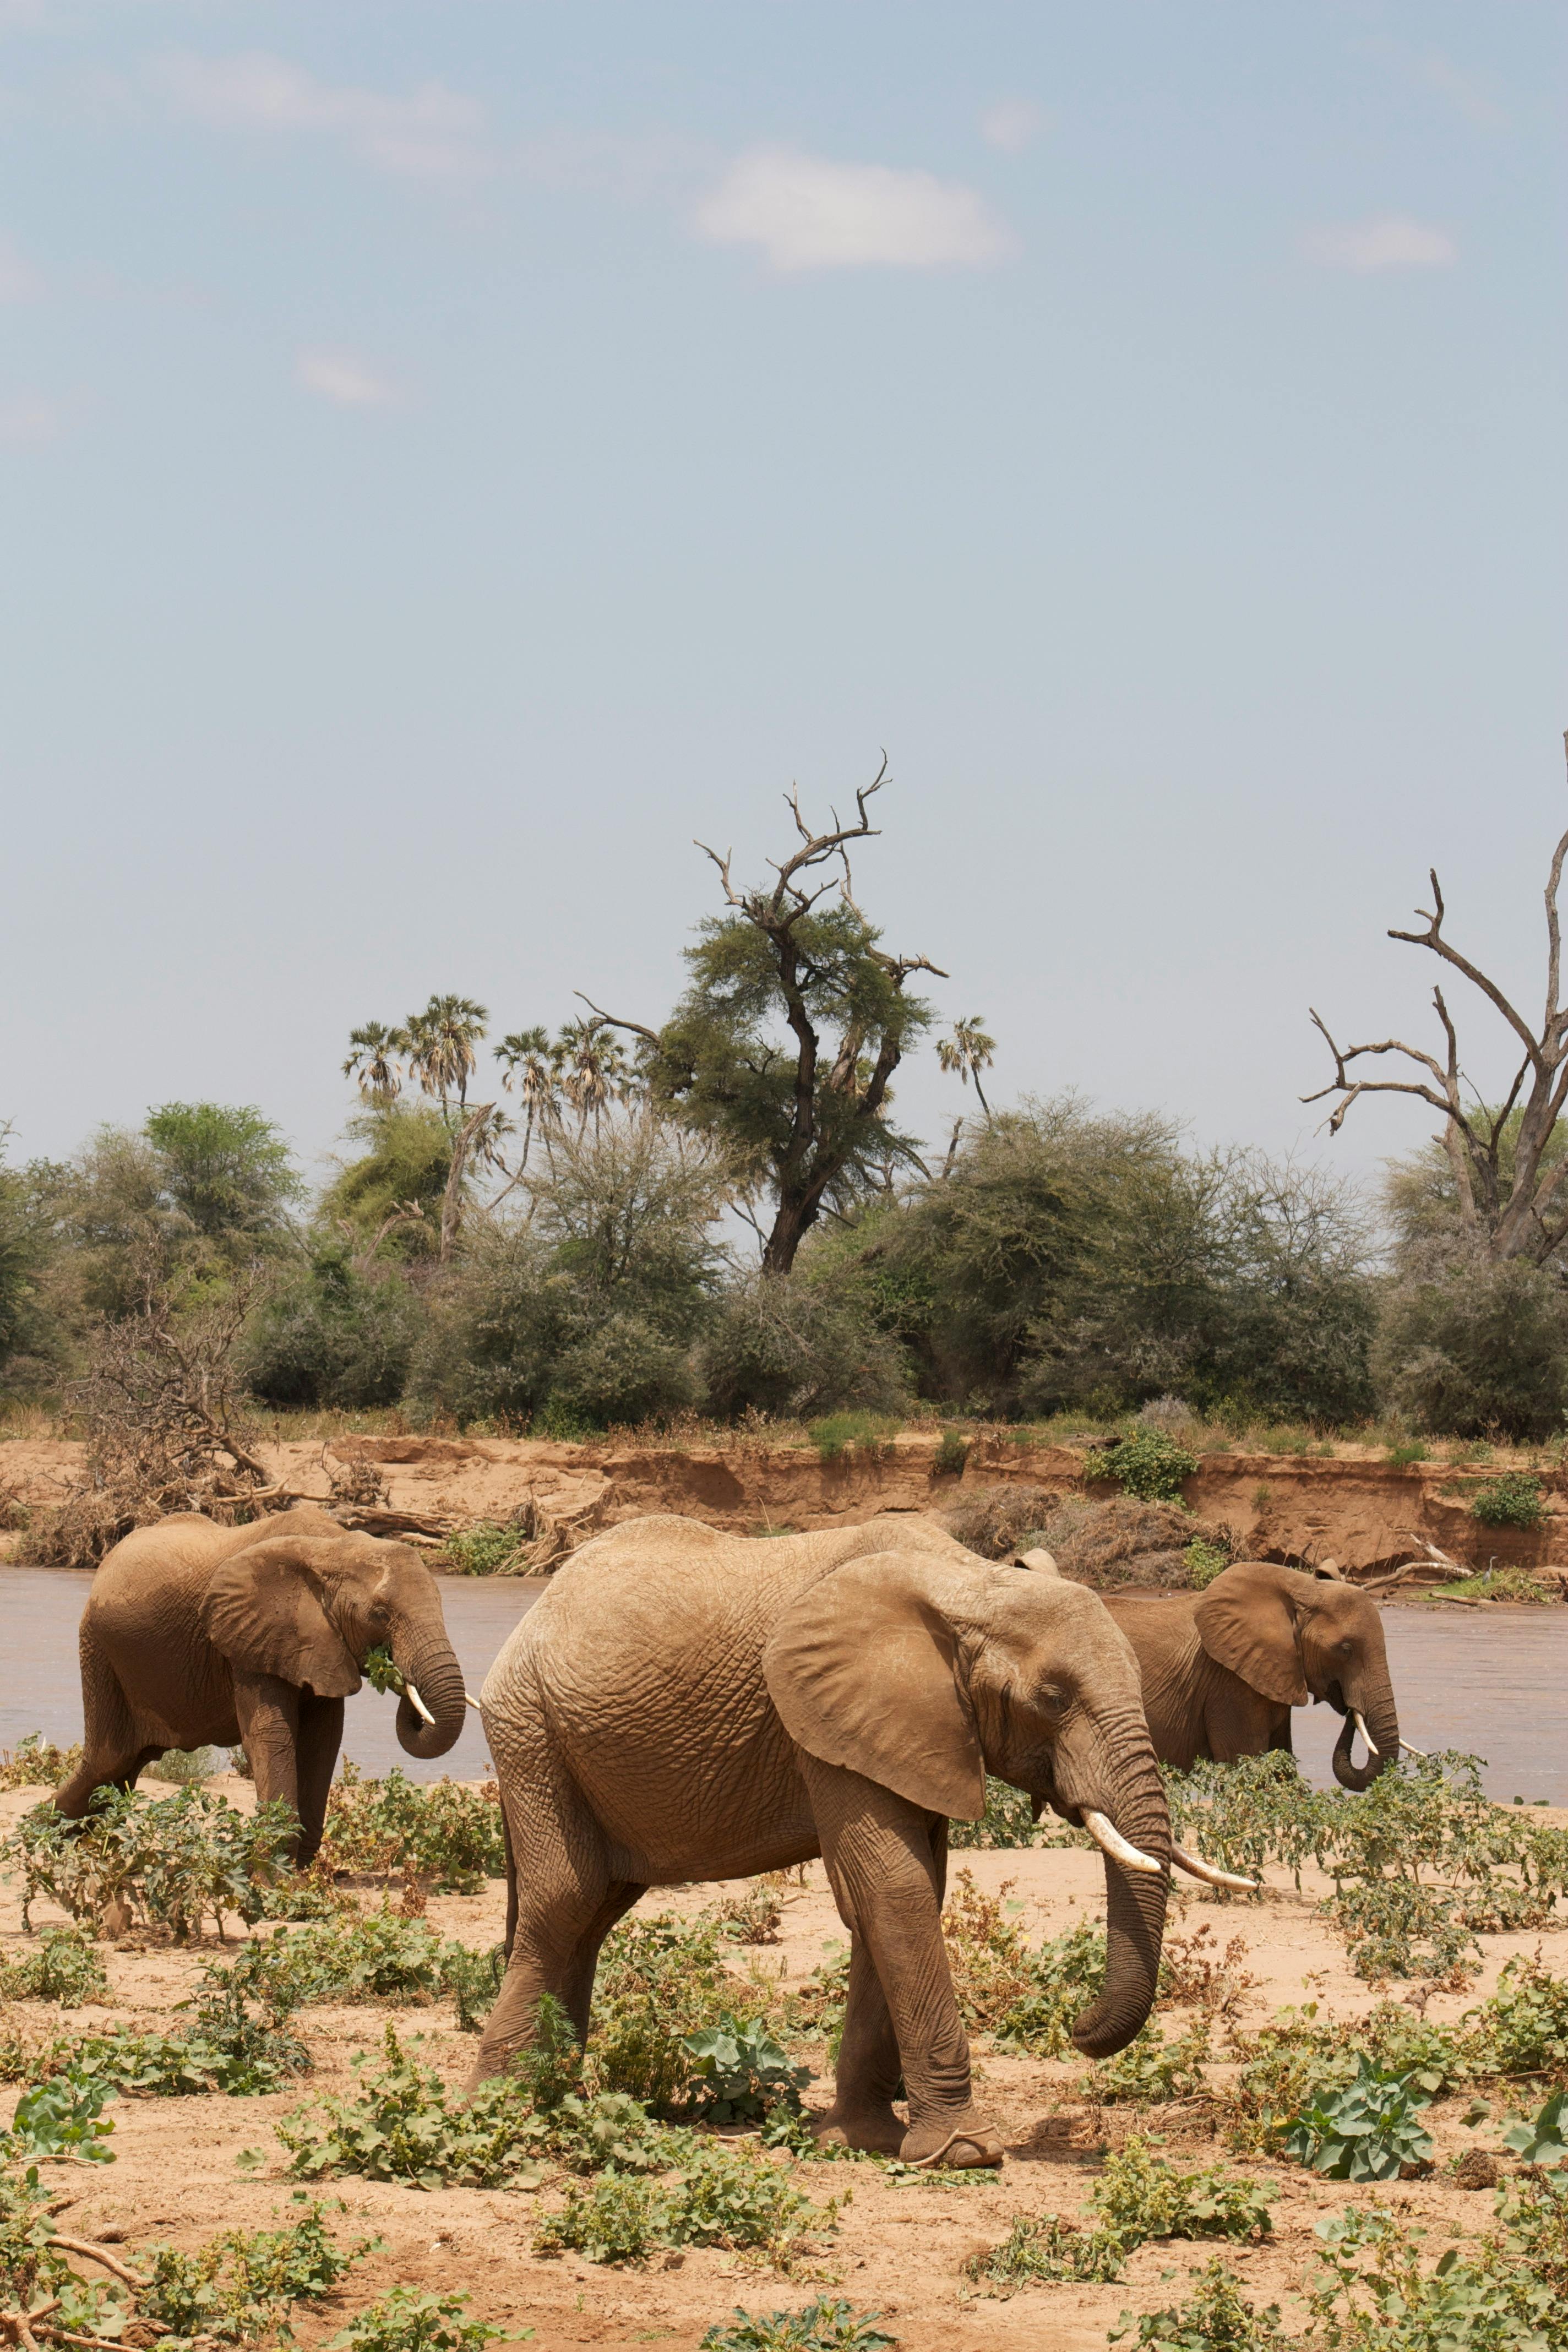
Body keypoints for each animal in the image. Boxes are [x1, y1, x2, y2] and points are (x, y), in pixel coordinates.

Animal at [52, 1495, 475, 1863]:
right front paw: (276, 1880)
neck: (332, 1548)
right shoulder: (251, 1635)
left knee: (124, 1769)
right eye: (381, 1615)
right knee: (108, 1760)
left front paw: (299, 1876)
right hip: (99, 1650)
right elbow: (272, 1734)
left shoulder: (318, 1642)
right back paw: (53, 1843)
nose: (399, 1676)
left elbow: (323, 1739)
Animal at [472, 1515, 1222, 2173]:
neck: (970, 1584)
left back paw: (562, 2089)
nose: (1077, 2026)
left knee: (596, 1910)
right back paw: (508, 2105)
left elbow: (900, 1896)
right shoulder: (822, 1717)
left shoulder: (908, 1730)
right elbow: (894, 1888)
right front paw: (965, 2154)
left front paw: (861, 2142)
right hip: (529, 1730)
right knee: (565, 1902)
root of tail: (538, 1606)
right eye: (1052, 1698)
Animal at [1100, 1552, 1401, 1787]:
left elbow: (1282, 1767)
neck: (1299, 1589)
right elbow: (1250, 1765)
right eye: (1345, 1649)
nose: (1351, 1708)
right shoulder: (1229, 1684)